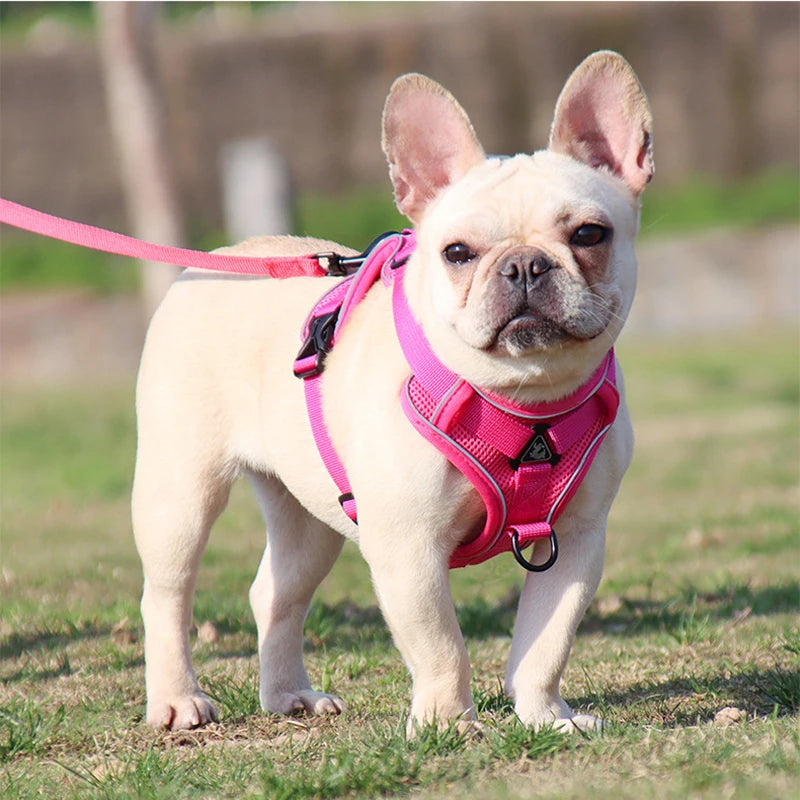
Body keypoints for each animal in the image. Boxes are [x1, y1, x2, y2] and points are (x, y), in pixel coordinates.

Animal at [131, 51, 652, 732]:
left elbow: (547, 641)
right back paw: (176, 699)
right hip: (180, 492)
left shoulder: (578, 541)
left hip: (308, 519)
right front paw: (448, 724)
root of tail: (213, 260)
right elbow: (441, 645)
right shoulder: (408, 547)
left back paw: (289, 694)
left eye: (590, 235)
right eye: (457, 253)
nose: (524, 265)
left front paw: (545, 716)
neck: (524, 396)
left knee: (276, 593)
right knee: (167, 593)